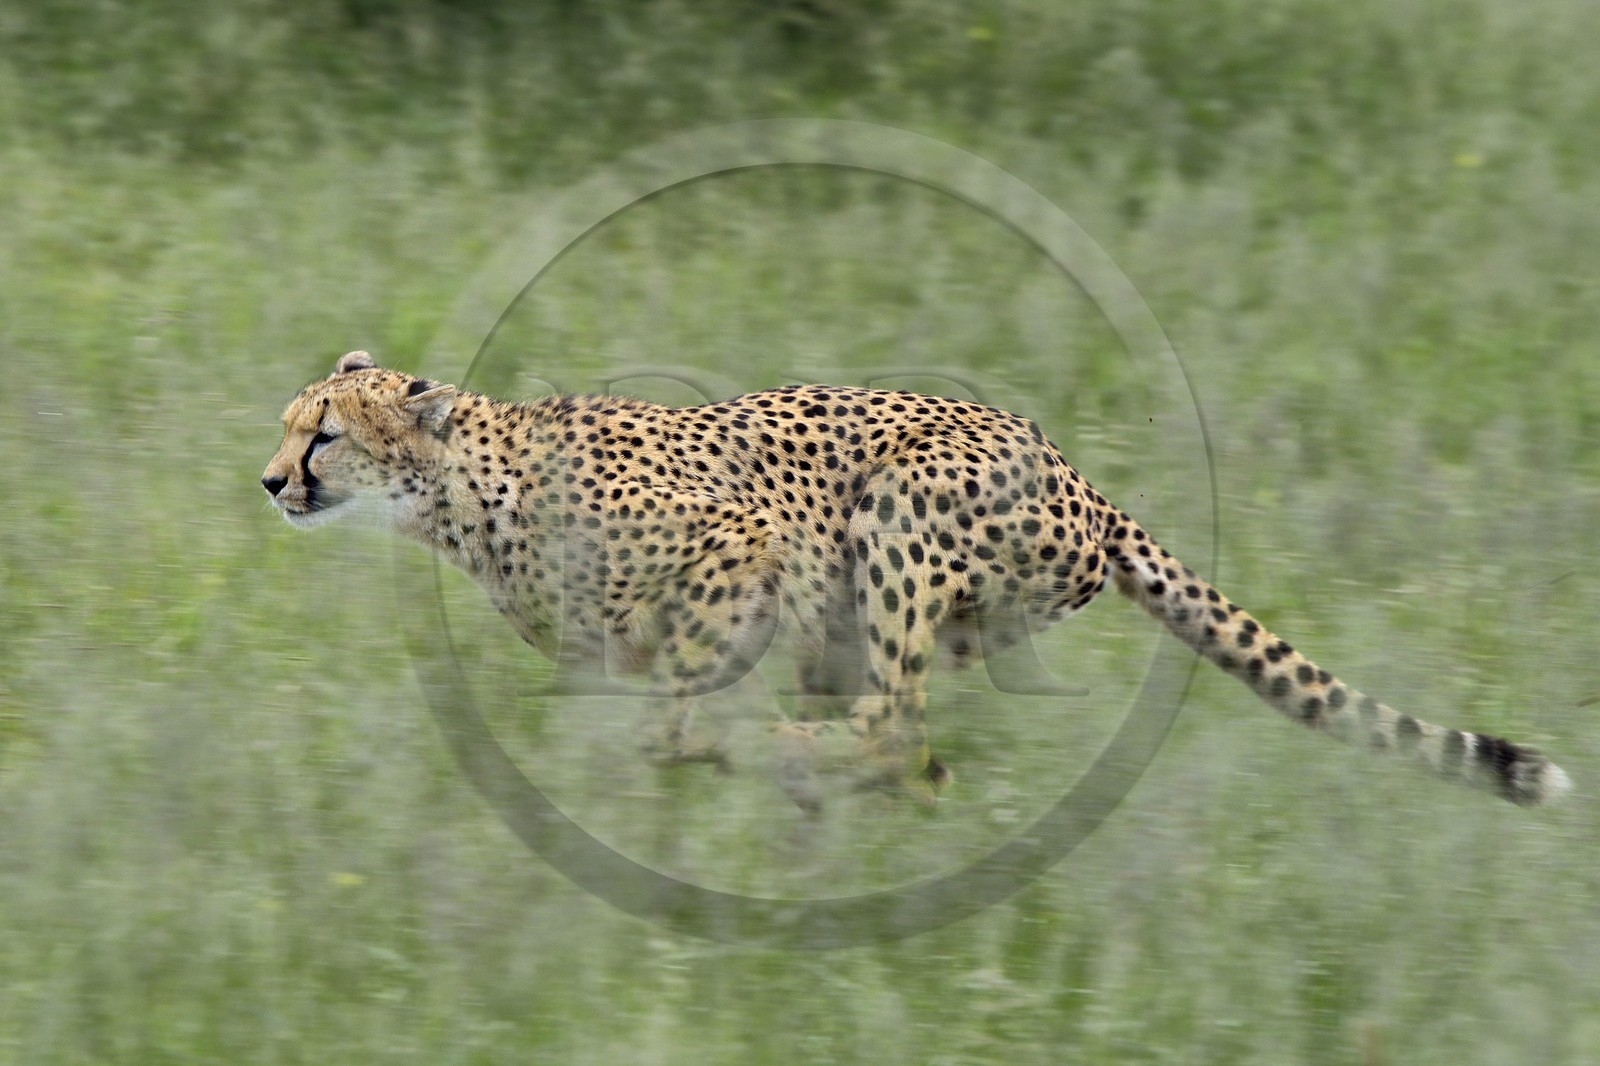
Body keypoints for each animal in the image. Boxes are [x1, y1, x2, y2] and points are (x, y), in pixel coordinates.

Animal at [263, 351, 1570, 812]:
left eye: (322, 431)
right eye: (289, 425)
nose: (270, 480)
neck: (457, 492)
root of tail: (1086, 480)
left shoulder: (742, 539)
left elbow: (678, 704)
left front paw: (696, 756)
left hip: (897, 515)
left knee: (894, 724)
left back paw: (797, 758)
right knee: (906, 742)